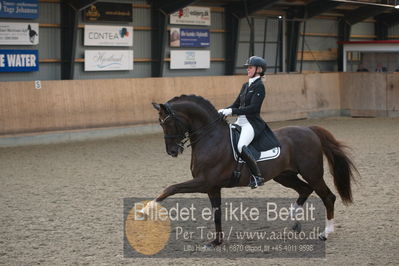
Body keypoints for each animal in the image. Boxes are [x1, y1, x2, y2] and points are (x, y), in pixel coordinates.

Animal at [147, 94, 360, 246]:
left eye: (167, 123)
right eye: (160, 124)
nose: (172, 151)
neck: (211, 137)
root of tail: (309, 130)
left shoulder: (204, 182)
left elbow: (170, 188)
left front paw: (146, 210)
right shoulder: (212, 187)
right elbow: (216, 213)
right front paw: (216, 241)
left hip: (312, 173)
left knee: (328, 197)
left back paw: (325, 233)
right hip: (284, 176)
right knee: (305, 190)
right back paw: (294, 220)